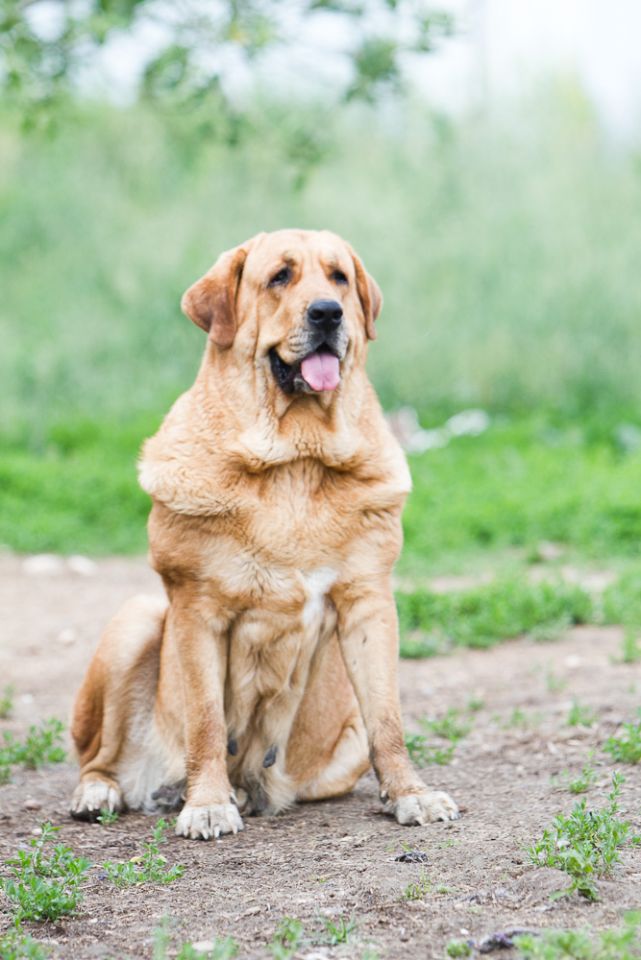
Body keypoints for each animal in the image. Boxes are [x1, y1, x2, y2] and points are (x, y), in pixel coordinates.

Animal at [70, 229, 459, 839]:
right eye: (280, 277)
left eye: (339, 277)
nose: (327, 312)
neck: (294, 457)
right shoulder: (196, 609)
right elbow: (207, 720)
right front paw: (208, 803)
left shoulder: (368, 603)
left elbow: (389, 720)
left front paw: (410, 795)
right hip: (136, 621)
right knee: (99, 756)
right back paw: (105, 792)